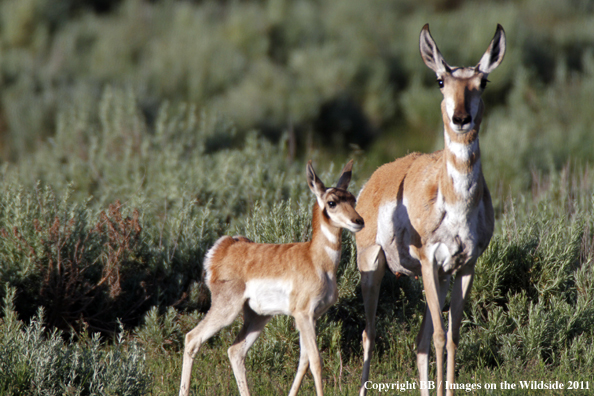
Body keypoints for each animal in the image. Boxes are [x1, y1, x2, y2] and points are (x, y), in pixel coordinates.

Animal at [179, 159, 366, 394]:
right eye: (332, 202)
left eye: (353, 199)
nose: (358, 221)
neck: (316, 258)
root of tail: (226, 246)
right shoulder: (303, 315)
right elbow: (315, 361)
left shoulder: (311, 317)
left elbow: (304, 361)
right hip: (227, 310)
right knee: (192, 338)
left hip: (258, 316)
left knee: (235, 351)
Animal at [356, 25, 504, 396]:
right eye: (440, 80)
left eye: (483, 81)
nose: (461, 118)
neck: (456, 205)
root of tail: (375, 179)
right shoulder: (428, 261)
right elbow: (439, 336)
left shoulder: (464, 266)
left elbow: (451, 336)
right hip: (373, 268)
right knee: (369, 334)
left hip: (435, 278)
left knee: (419, 344)